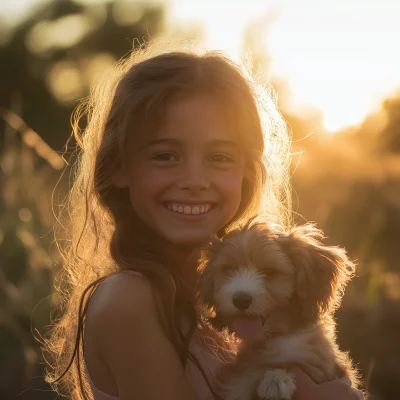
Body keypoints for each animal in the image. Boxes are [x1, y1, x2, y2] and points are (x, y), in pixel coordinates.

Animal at [198, 220, 360, 400]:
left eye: (269, 271)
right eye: (228, 270)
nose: (241, 300)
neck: (275, 337)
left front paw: (275, 380)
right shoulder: (238, 384)